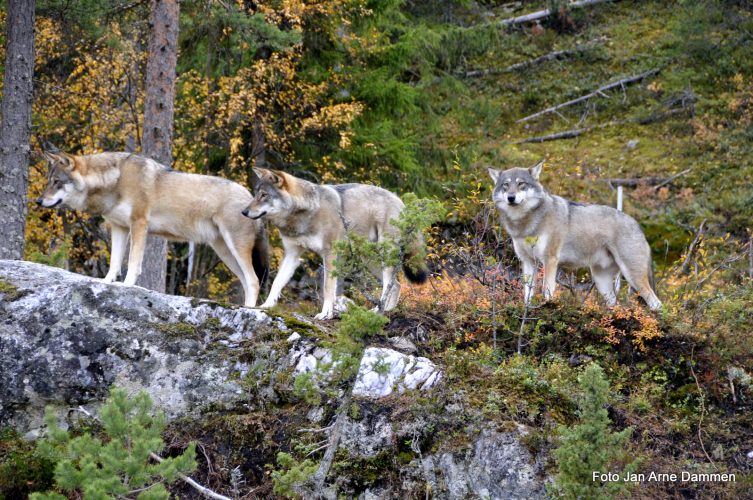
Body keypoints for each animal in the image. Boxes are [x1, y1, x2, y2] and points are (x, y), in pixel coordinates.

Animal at [36, 150, 270, 306]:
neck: (115, 180)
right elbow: (114, 263)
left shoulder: (139, 224)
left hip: (235, 249)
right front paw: (106, 282)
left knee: (254, 281)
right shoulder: (119, 228)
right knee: (247, 281)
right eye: (49, 181)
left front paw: (126, 286)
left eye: (57, 182)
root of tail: (250, 197)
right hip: (225, 252)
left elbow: (132, 263)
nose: (38, 201)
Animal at [242, 168, 428, 320]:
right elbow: (277, 283)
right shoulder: (292, 254)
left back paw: (379, 312)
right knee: (395, 285)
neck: (305, 214)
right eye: (256, 194)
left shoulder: (330, 253)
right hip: (368, 259)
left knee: (390, 284)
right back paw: (384, 311)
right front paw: (265, 306)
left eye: (264, 195)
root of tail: (401, 201)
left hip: (383, 254)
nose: (244, 212)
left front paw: (326, 313)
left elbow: (327, 287)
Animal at [488, 161, 656, 308]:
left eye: (521, 184)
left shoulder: (550, 260)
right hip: (601, 280)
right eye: (506, 185)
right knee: (615, 304)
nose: (511, 197)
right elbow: (527, 293)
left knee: (655, 303)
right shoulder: (528, 261)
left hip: (632, 277)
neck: (527, 223)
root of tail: (638, 225)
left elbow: (547, 290)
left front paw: (546, 306)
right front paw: (527, 309)